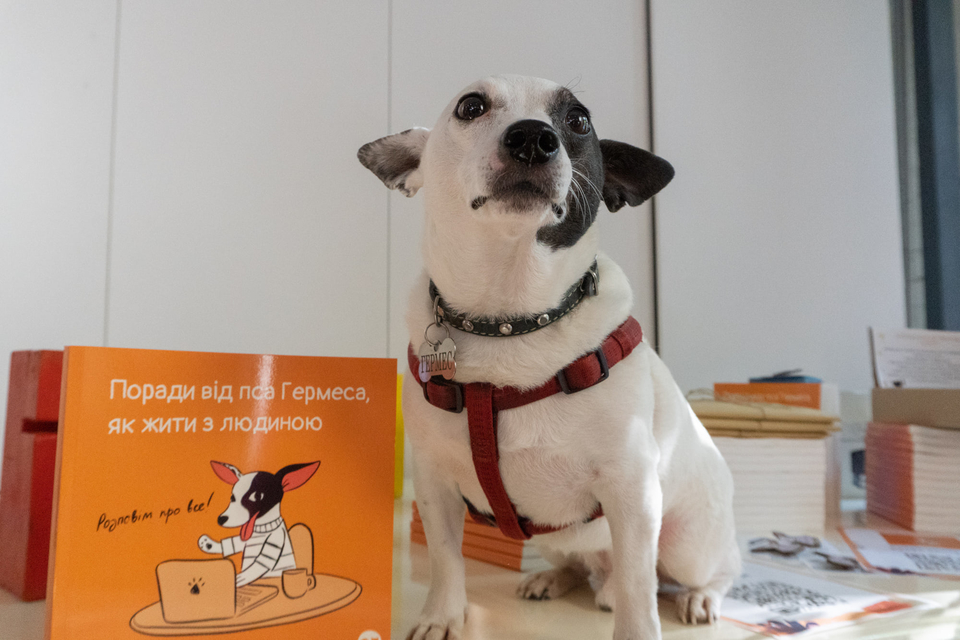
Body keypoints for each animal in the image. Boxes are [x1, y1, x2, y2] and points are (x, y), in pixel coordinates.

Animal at [359, 75, 740, 640]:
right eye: (470, 106)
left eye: (579, 120)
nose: (534, 138)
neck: (511, 319)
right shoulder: (434, 484)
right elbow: (448, 559)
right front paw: (442, 616)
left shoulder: (631, 491)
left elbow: (639, 591)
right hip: (555, 539)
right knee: (583, 564)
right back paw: (554, 578)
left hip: (687, 544)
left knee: (704, 569)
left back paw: (699, 596)